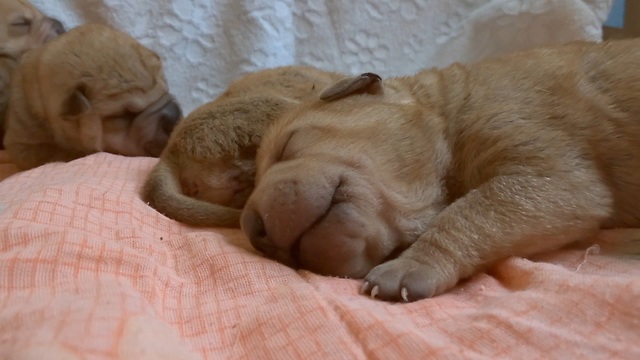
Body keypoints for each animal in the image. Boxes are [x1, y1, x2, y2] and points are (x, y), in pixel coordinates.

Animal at [240, 39, 640, 302]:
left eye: (288, 145)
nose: (253, 229)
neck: (447, 113)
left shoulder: (551, 170)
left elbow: (473, 209)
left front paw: (409, 267)